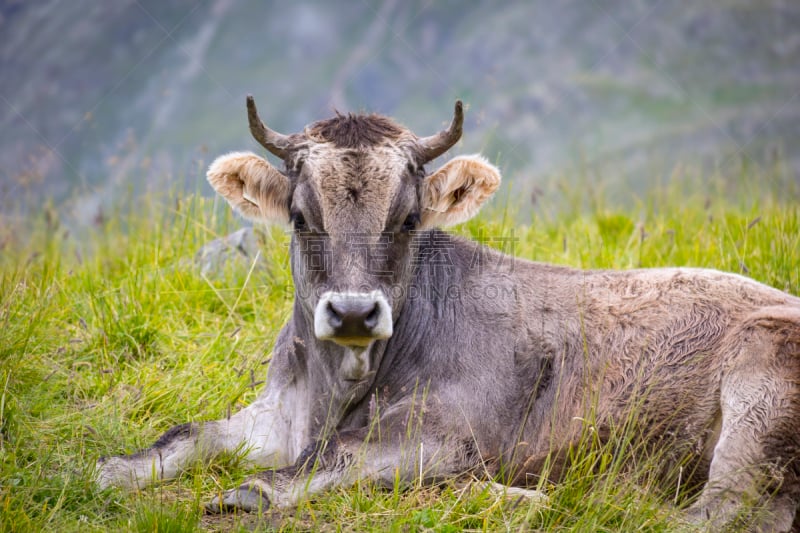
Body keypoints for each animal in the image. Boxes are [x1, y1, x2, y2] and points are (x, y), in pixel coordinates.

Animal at [95, 97, 800, 528]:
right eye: (299, 217)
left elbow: (335, 454)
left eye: (409, 219)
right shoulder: (274, 416)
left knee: (717, 512)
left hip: (762, 390)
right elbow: (189, 433)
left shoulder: (450, 431)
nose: (354, 312)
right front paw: (117, 469)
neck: (334, 392)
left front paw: (256, 489)